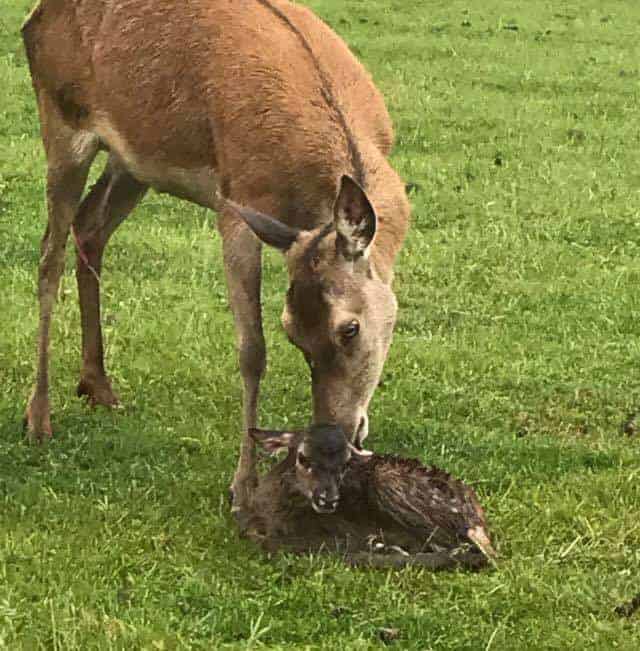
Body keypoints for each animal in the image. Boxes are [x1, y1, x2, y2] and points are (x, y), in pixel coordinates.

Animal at [20, 0, 410, 512]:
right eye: (293, 332)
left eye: (349, 328)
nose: (338, 436)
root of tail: (32, 22)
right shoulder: (236, 203)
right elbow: (251, 350)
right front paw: (242, 487)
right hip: (61, 121)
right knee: (50, 255)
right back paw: (38, 416)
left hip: (134, 162)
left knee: (90, 227)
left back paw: (98, 385)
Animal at [236, 425, 496, 569]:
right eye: (302, 457)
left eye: (345, 464)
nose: (329, 499)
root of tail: (478, 520)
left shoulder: (343, 529)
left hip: (390, 483)